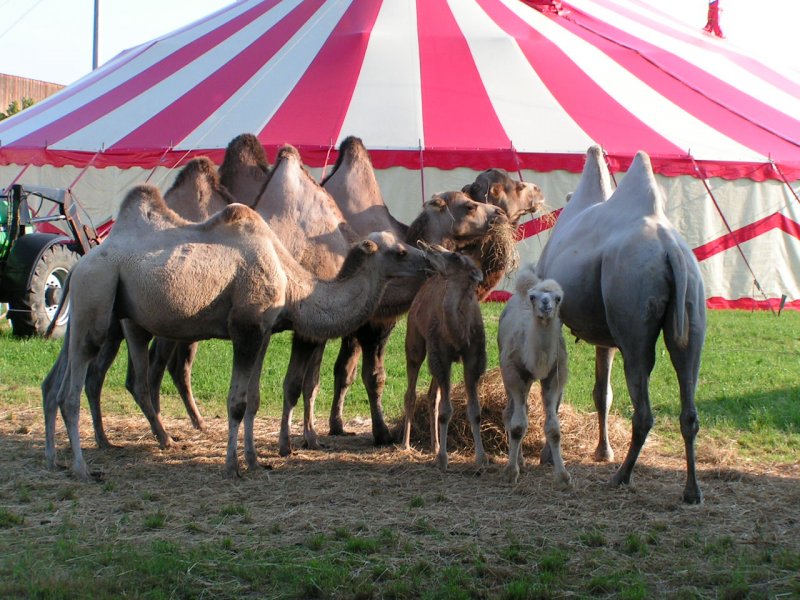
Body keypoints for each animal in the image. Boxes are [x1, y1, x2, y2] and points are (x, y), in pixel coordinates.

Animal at [43, 183, 434, 478]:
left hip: (90, 309)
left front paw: (254, 459)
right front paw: (233, 465)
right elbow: (236, 402)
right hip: (98, 295)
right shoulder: (246, 328)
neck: (292, 283)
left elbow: (254, 400)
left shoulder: (263, 332)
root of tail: (79, 264)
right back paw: (83, 468)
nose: (428, 261)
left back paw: (56, 459)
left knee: (58, 382)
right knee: (76, 388)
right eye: (399, 252)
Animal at [322, 137, 510, 446]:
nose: (500, 214)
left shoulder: (362, 325)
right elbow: (373, 376)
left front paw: (336, 425)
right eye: (469, 206)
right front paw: (383, 432)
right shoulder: (372, 324)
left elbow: (343, 370)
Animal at [400, 246, 488, 472]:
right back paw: (405, 444)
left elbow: (474, 410)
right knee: (411, 392)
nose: (429, 249)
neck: (458, 331)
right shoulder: (441, 354)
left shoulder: (472, 358)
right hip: (415, 342)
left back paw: (434, 445)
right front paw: (442, 459)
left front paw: (481, 458)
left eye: (456, 256)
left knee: (433, 396)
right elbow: (446, 410)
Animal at [500, 264, 568, 486]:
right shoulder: (514, 374)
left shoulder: (554, 376)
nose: (546, 305)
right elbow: (517, 426)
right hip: (509, 374)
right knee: (510, 414)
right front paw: (511, 472)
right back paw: (519, 462)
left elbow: (554, 429)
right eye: (533, 297)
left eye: (558, 298)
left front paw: (563, 475)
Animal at [536, 148, 708, 504]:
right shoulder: (606, 338)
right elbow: (602, 393)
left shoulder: (555, 319)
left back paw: (621, 477)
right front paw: (603, 451)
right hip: (692, 307)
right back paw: (691, 491)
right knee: (688, 394)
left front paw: (547, 456)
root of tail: (671, 249)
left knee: (643, 407)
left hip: (632, 301)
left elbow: (555, 389)